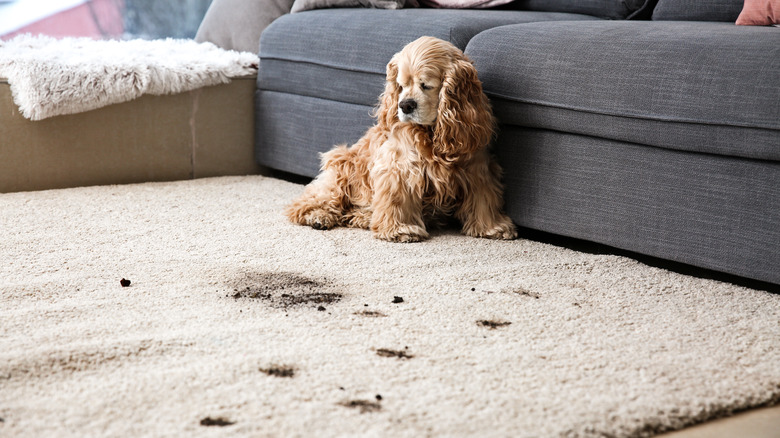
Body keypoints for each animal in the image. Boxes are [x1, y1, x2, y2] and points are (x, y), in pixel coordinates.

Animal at [286, 36, 516, 243]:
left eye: (426, 85)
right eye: (401, 85)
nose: (405, 105)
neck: (432, 134)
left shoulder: (477, 167)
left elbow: (483, 199)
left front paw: (493, 227)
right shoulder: (399, 167)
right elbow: (397, 199)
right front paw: (400, 230)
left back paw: (363, 217)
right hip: (341, 169)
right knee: (306, 202)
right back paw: (318, 216)